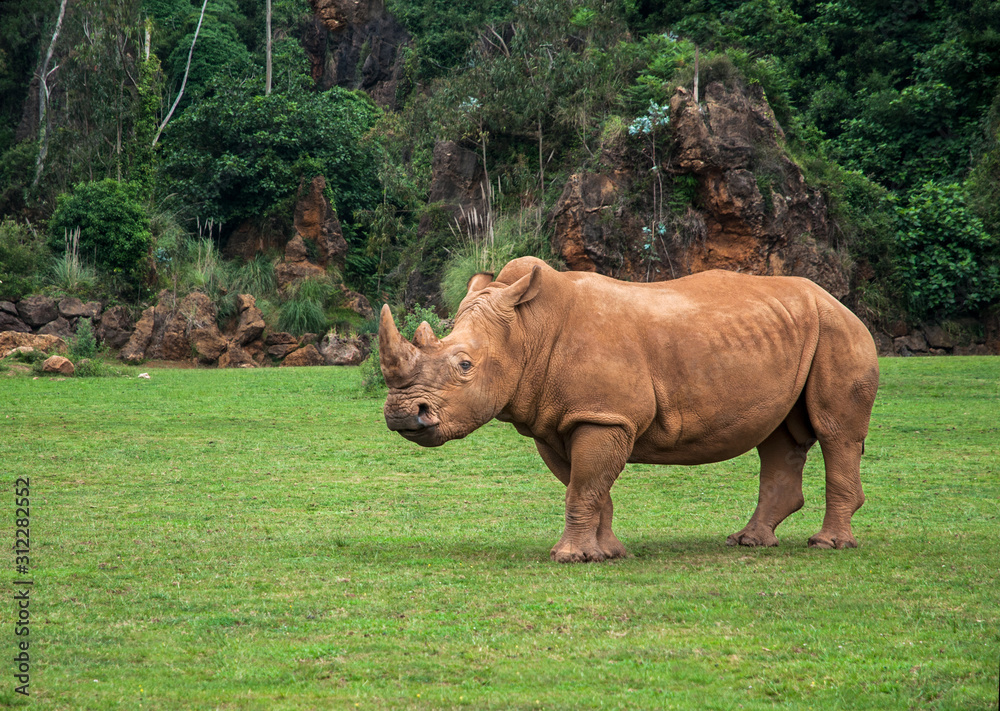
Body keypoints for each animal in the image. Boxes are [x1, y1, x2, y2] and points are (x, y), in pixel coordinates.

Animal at [379, 257, 879, 562]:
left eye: (464, 366)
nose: (403, 415)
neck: (526, 329)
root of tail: (837, 299)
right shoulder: (557, 420)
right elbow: (590, 487)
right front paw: (607, 553)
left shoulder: (603, 415)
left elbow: (583, 487)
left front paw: (568, 557)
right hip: (797, 332)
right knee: (779, 436)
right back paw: (749, 542)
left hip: (839, 330)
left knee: (835, 432)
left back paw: (828, 545)